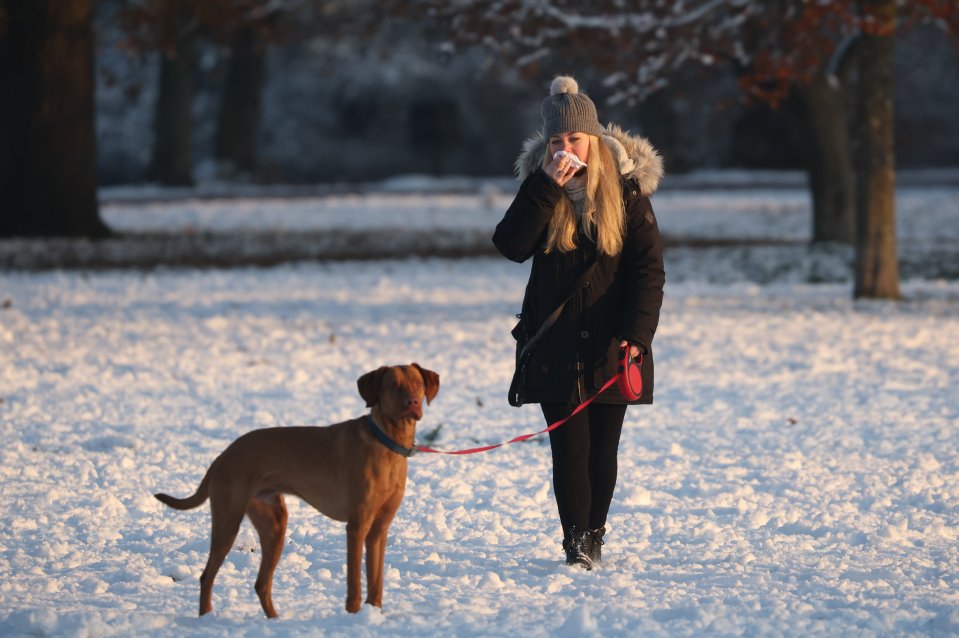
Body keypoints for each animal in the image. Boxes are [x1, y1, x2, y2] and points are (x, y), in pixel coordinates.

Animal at [156, 364, 440, 620]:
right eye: (392, 384)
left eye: (417, 383)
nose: (414, 402)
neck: (387, 443)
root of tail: (223, 455)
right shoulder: (357, 525)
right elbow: (355, 581)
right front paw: (355, 615)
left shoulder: (380, 528)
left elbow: (376, 581)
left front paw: (374, 614)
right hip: (228, 521)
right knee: (207, 576)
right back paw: (206, 618)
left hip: (274, 524)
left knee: (261, 583)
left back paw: (274, 620)